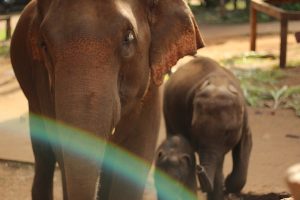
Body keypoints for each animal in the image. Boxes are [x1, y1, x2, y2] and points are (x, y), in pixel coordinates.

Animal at [9, 0, 204, 200]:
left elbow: (134, 155)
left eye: (128, 37)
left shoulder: (150, 91)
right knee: (44, 153)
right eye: (44, 45)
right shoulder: (42, 79)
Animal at [163, 56, 252, 200]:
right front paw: (223, 187)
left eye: (227, 132)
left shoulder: (244, 120)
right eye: (194, 129)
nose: (199, 168)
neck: (219, 84)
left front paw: (227, 185)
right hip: (167, 111)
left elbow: (245, 144)